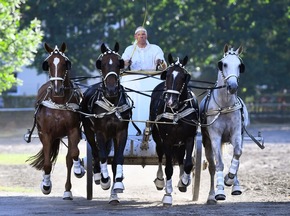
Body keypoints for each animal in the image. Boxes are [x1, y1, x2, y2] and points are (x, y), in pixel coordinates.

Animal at [26, 42, 85, 199]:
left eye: (65, 63)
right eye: (48, 64)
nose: (57, 89)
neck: (58, 102)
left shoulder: (73, 130)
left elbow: (74, 154)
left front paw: (79, 170)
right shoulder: (46, 134)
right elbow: (47, 163)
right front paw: (46, 185)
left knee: (69, 158)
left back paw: (67, 190)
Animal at [80, 42, 133, 204]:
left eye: (118, 63)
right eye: (102, 63)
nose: (111, 89)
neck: (111, 101)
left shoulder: (121, 132)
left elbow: (118, 158)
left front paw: (118, 184)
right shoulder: (100, 132)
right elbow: (102, 155)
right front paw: (105, 180)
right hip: (89, 131)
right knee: (96, 152)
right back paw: (99, 175)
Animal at [150, 54, 199, 206]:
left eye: (183, 77)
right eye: (167, 75)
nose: (171, 101)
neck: (176, 111)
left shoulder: (189, 137)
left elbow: (188, 163)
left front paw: (184, 181)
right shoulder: (167, 140)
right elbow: (168, 168)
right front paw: (167, 195)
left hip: (180, 142)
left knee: (181, 157)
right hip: (157, 137)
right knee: (161, 156)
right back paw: (160, 181)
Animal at [199, 44, 249, 204]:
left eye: (240, 65)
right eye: (224, 64)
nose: (232, 86)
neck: (224, 105)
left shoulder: (236, 133)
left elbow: (237, 155)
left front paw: (229, 179)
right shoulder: (215, 137)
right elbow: (219, 164)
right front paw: (220, 191)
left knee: (236, 157)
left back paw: (235, 186)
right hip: (207, 143)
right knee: (212, 166)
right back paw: (212, 195)